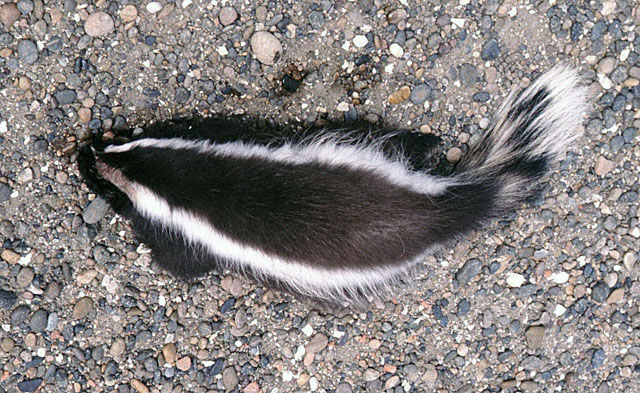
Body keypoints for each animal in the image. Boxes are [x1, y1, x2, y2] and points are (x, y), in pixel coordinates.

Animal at [80, 65, 592, 304]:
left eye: (108, 190)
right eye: (117, 139)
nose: (84, 152)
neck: (178, 176)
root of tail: (438, 207)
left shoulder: (187, 236)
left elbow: (180, 263)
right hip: (368, 152)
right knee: (398, 142)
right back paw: (425, 139)